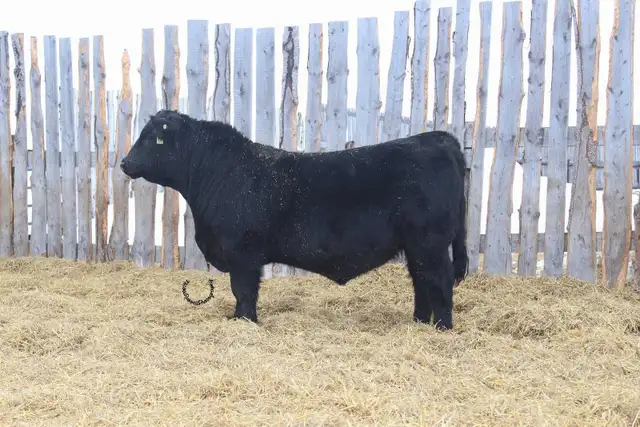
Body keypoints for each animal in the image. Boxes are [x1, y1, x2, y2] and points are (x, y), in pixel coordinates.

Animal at [120, 109, 468, 330]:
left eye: (152, 139)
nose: (124, 162)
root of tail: (439, 139)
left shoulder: (243, 253)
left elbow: (243, 290)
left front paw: (243, 321)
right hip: (416, 246)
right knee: (421, 281)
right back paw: (419, 322)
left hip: (430, 243)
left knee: (438, 280)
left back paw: (442, 327)